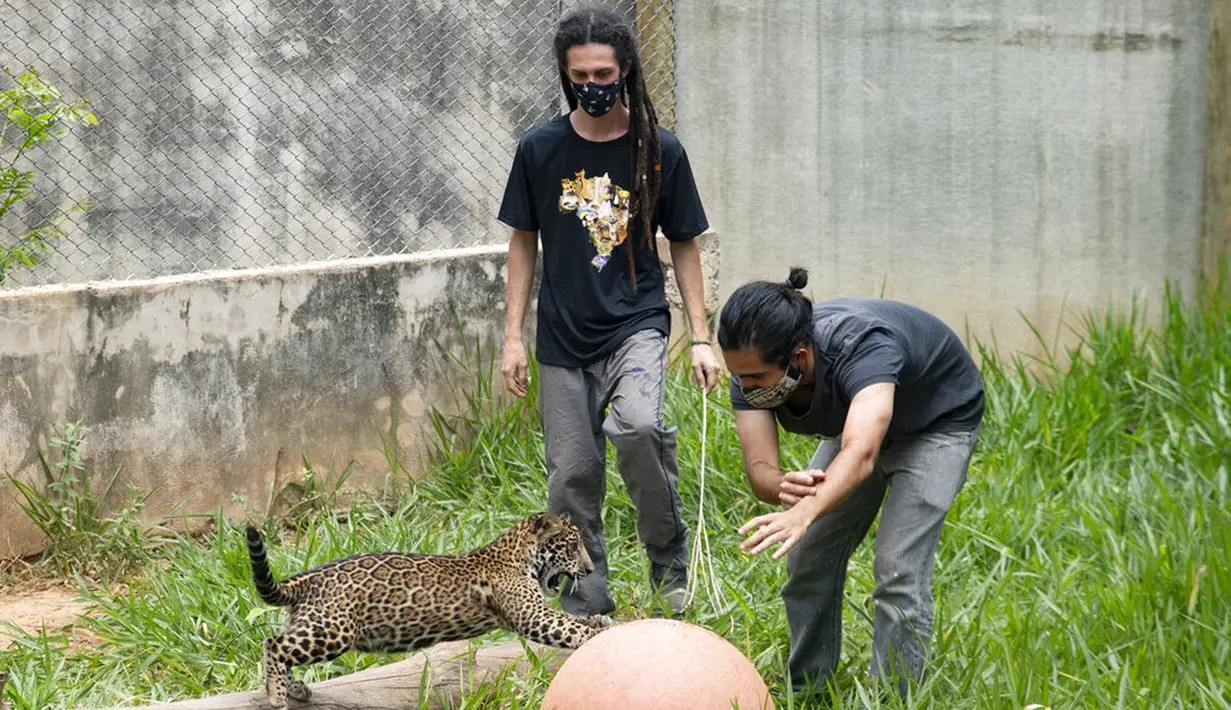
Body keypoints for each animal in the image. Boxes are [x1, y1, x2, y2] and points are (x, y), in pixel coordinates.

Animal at [243, 511, 614, 707]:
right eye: (571, 545)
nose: (589, 569)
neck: (518, 554)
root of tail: (304, 579)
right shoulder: (533, 616)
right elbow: (569, 628)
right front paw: (597, 635)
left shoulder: (537, 612)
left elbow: (574, 621)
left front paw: (599, 620)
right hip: (333, 631)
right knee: (274, 644)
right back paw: (277, 696)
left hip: (316, 626)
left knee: (282, 646)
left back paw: (296, 689)